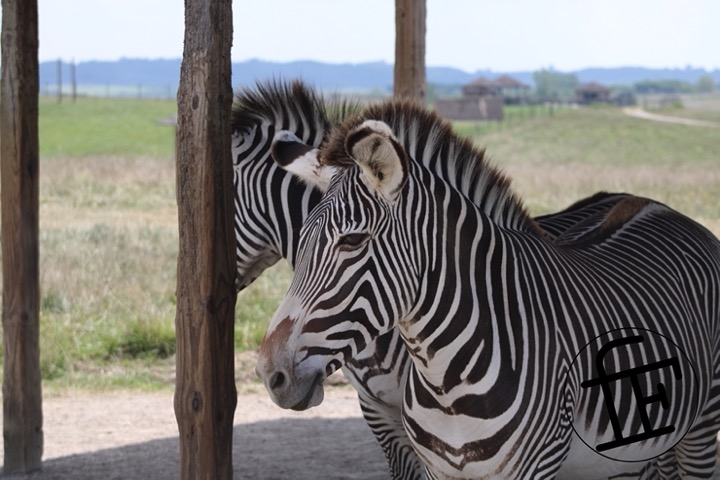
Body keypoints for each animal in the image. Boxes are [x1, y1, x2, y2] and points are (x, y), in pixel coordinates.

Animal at [256, 99, 716, 478]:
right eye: (301, 241)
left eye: (351, 241)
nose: (268, 373)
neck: (445, 381)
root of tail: (664, 210)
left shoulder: (533, 468)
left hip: (703, 423)